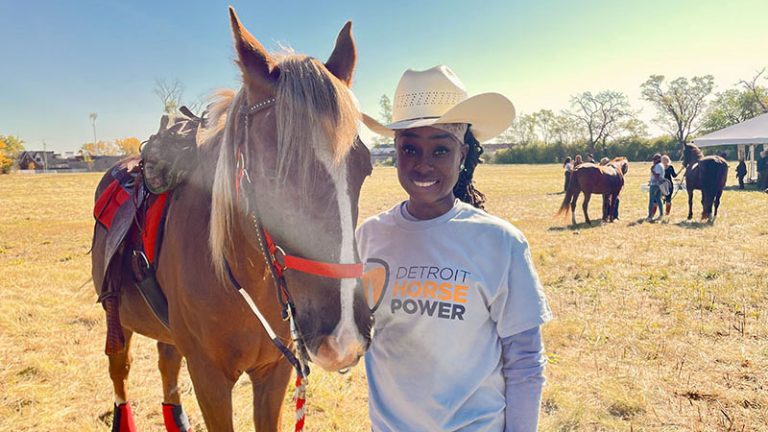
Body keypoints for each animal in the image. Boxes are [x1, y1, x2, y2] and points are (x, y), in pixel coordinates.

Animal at [90, 7, 376, 432]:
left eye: (365, 168)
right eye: (273, 174)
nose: (344, 337)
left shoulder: (274, 372)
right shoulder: (209, 378)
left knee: (166, 363)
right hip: (119, 324)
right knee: (119, 373)